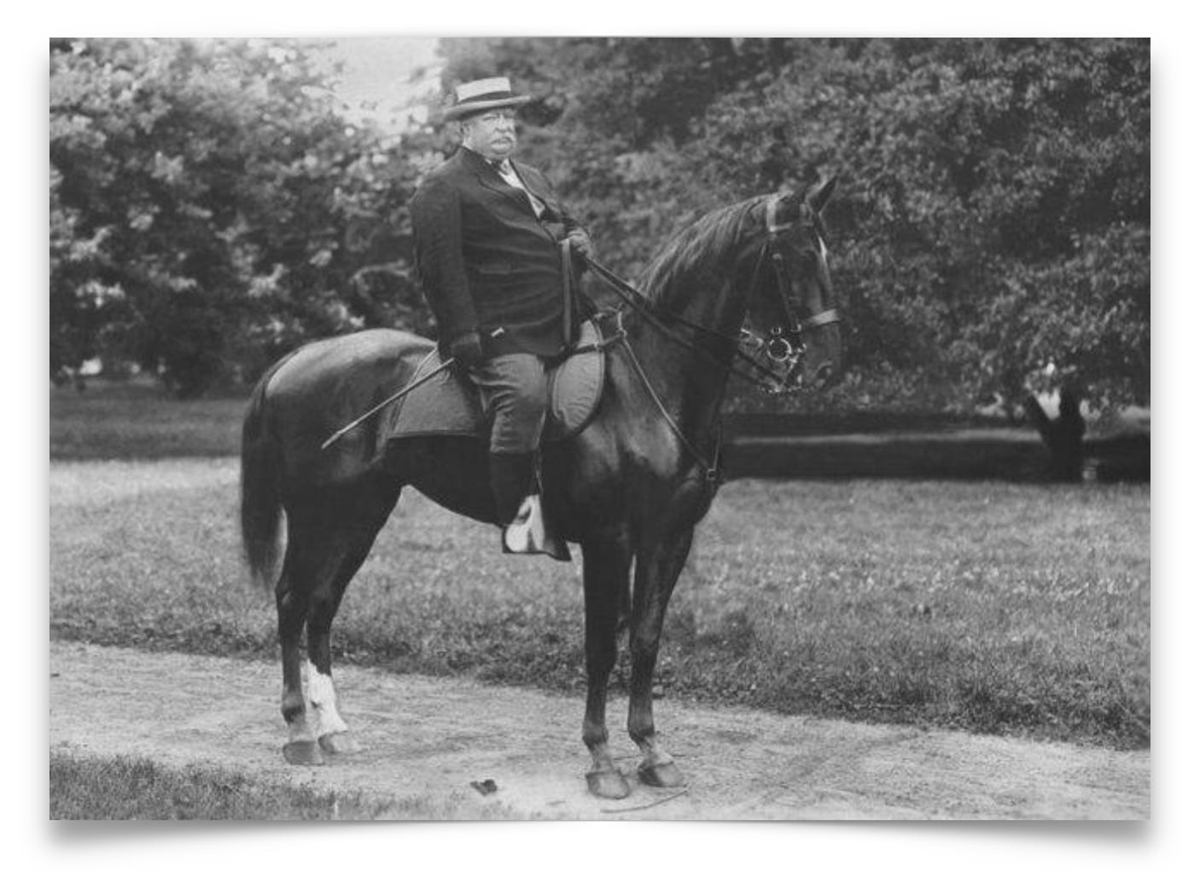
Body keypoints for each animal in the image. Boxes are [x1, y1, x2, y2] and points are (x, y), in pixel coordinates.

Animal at [239, 177, 843, 800]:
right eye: (792, 257)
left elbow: (646, 639)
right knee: (291, 600)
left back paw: (334, 728)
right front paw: (602, 759)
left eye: (827, 253)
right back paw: (300, 732)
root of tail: (295, 359)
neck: (647, 387)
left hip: (360, 515)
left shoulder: (669, 538)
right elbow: (601, 646)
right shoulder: (608, 541)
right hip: (317, 515)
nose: (826, 366)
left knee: (322, 604)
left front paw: (652, 749)